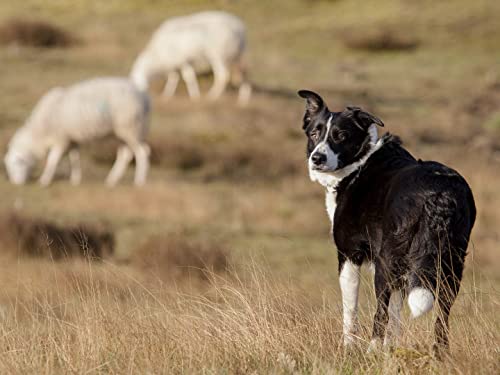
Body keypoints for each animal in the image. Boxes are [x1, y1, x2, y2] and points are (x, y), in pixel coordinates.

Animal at [4, 76, 150, 188]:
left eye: (18, 163)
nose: (16, 184)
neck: (40, 130)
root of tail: (144, 96)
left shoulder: (61, 139)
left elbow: (52, 161)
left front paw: (44, 181)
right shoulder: (71, 140)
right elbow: (74, 159)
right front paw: (75, 180)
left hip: (132, 128)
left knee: (142, 152)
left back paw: (139, 181)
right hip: (123, 133)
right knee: (125, 154)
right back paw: (111, 180)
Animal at [296, 89, 476, 354]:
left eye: (341, 136)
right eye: (314, 134)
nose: (317, 158)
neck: (359, 162)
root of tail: (439, 195)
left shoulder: (349, 254)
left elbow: (352, 309)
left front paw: (350, 348)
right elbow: (396, 314)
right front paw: (391, 350)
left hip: (387, 260)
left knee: (380, 310)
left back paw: (371, 350)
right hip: (451, 263)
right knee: (442, 314)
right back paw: (440, 354)